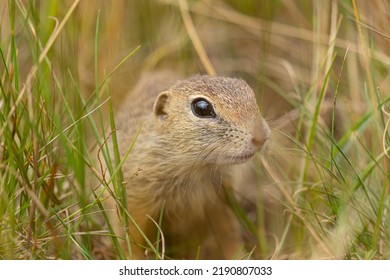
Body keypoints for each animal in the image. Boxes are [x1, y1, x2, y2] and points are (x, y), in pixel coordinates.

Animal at [102, 71, 270, 260]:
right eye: (202, 108)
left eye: (250, 93)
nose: (261, 137)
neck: (194, 170)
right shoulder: (131, 200)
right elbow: (129, 236)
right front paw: (132, 257)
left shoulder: (220, 200)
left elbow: (228, 233)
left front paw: (240, 256)